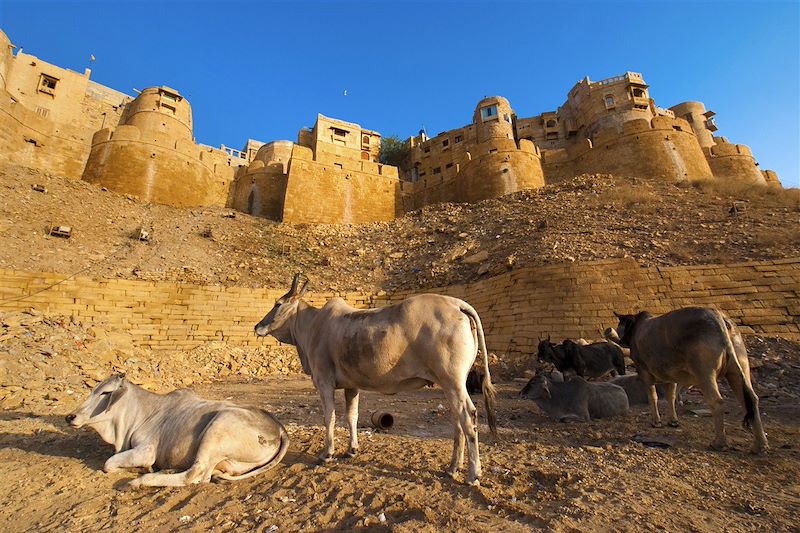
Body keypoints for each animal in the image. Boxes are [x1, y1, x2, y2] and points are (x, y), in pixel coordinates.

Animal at [65, 374, 290, 486]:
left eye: (105, 393)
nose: (70, 416)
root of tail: (279, 428)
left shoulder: (146, 450)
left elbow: (108, 464)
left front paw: (143, 470)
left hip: (217, 428)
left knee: (195, 474)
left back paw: (142, 481)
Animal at [253, 274, 496, 486]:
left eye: (277, 303)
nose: (257, 326)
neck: (313, 326)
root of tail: (456, 304)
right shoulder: (351, 386)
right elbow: (351, 416)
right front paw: (351, 450)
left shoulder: (324, 383)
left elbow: (329, 417)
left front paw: (326, 453)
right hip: (450, 385)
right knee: (457, 421)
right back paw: (452, 468)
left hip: (452, 382)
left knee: (468, 417)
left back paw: (472, 475)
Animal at [616, 306, 764, 450]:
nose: (621, 341)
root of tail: (718, 317)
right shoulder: (670, 375)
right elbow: (671, 397)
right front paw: (673, 420)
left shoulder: (644, 371)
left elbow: (653, 397)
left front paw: (656, 421)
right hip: (739, 364)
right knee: (751, 399)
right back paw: (759, 445)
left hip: (704, 371)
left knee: (717, 401)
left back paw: (719, 442)